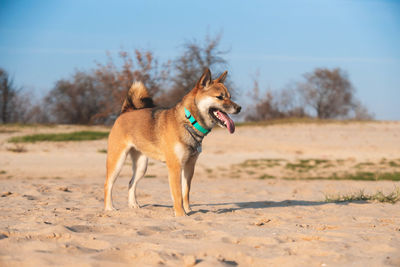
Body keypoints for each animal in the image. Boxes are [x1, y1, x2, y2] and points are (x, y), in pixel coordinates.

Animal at [104, 68, 241, 217]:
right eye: (220, 97)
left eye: (230, 96)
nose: (239, 108)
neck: (188, 121)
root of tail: (125, 112)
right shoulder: (175, 166)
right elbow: (177, 193)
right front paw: (181, 214)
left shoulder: (189, 166)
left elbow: (186, 192)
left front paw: (188, 210)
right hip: (117, 161)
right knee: (108, 184)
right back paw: (109, 208)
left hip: (141, 166)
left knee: (131, 183)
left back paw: (133, 205)